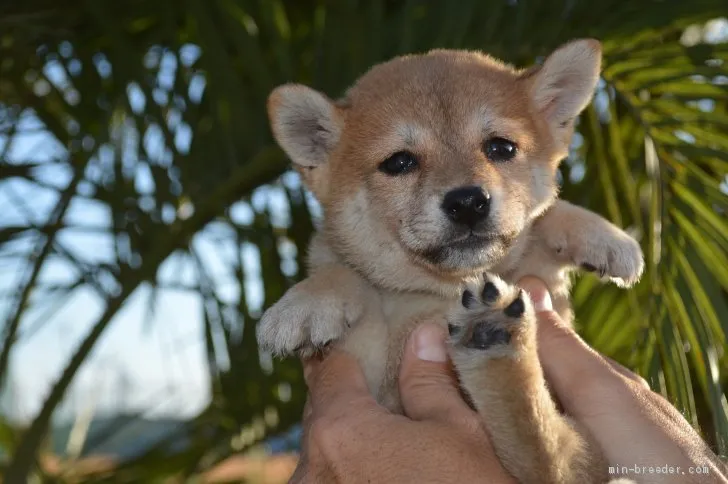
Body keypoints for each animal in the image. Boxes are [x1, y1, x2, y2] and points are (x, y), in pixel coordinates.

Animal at [260, 38, 644, 484]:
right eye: (399, 162)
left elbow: (543, 217)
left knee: (546, 450)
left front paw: (604, 237)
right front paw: (307, 302)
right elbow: (344, 271)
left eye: (501, 147)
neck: (443, 290)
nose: (468, 202)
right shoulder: (364, 369)